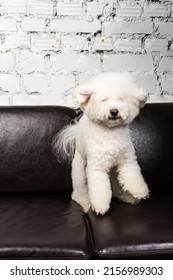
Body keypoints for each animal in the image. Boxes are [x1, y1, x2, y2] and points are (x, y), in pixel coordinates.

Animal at [53, 71, 149, 214]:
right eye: (104, 100)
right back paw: (84, 202)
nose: (114, 111)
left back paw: (126, 196)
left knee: (118, 181)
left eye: (121, 99)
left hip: (115, 168)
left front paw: (140, 191)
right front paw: (100, 206)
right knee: (80, 188)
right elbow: (99, 189)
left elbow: (133, 176)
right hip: (79, 167)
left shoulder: (127, 161)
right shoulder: (97, 168)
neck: (111, 132)